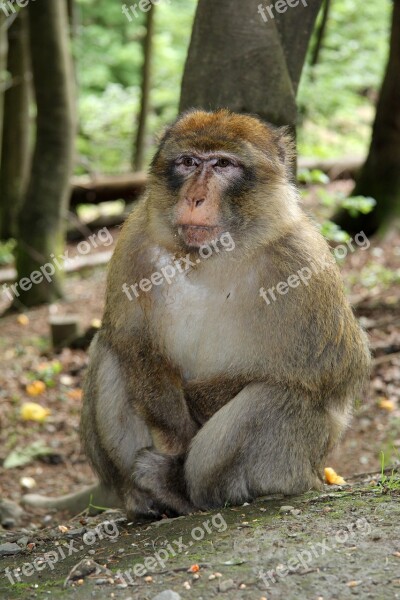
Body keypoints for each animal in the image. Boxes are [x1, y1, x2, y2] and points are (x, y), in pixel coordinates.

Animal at [23, 110, 370, 516]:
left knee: (279, 394)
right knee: (110, 348)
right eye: (188, 162)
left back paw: (183, 490)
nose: (194, 197)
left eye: (222, 164)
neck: (211, 256)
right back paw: (145, 497)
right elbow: (134, 342)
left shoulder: (304, 261)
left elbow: (329, 372)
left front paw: (195, 411)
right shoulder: (135, 240)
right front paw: (175, 431)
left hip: (292, 469)